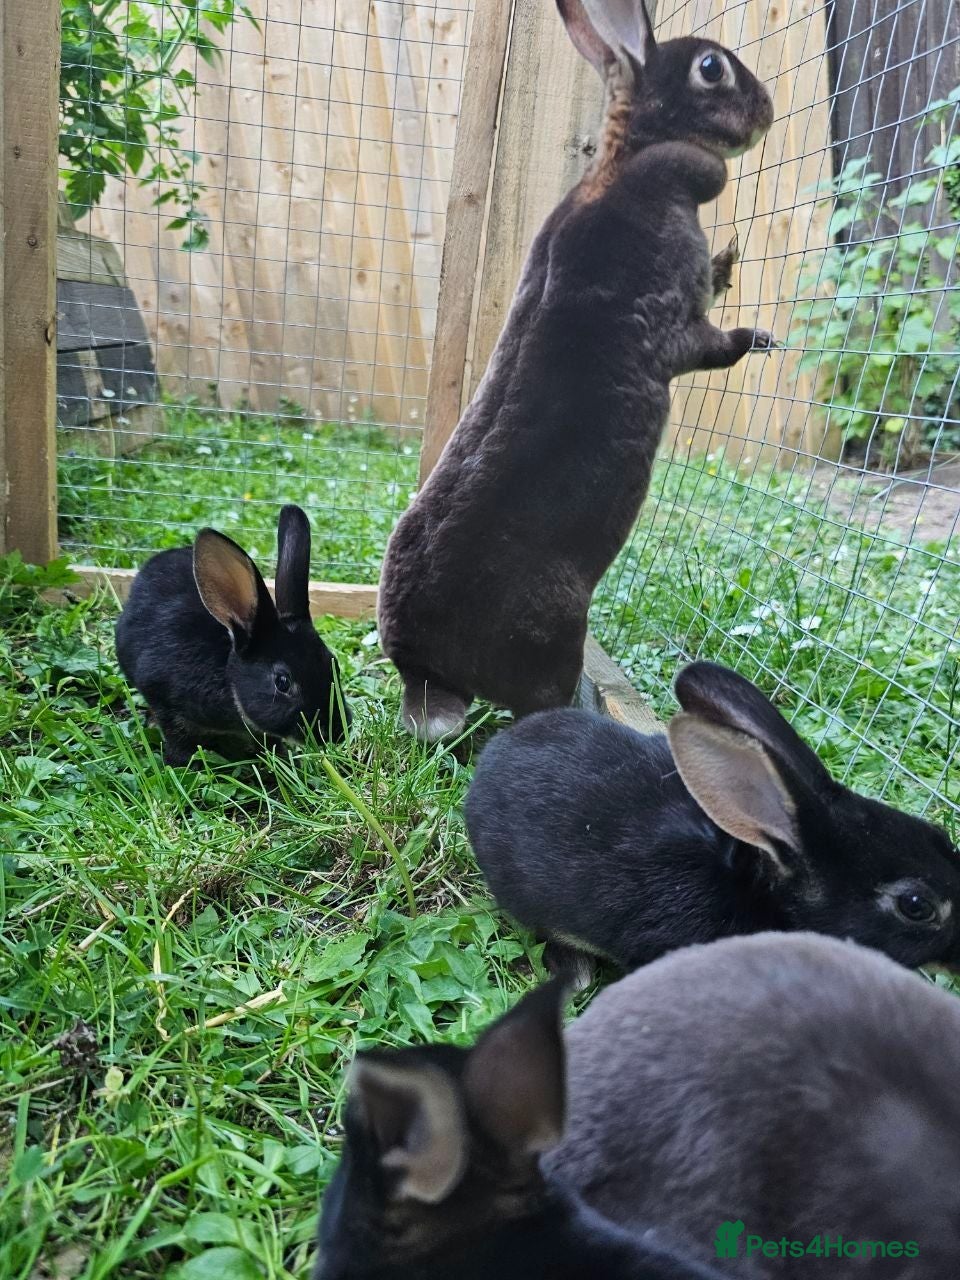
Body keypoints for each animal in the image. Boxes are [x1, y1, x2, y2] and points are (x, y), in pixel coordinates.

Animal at [115, 504, 349, 764]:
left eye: (334, 664)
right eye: (282, 682)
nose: (337, 732)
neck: (228, 677)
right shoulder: (163, 699)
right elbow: (177, 738)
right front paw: (183, 763)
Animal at [377, 0, 776, 742]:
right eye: (711, 68)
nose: (766, 111)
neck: (630, 159)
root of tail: (426, 675)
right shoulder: (676, 329)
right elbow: (714, 344)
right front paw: (752, 323)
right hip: (557, 631)